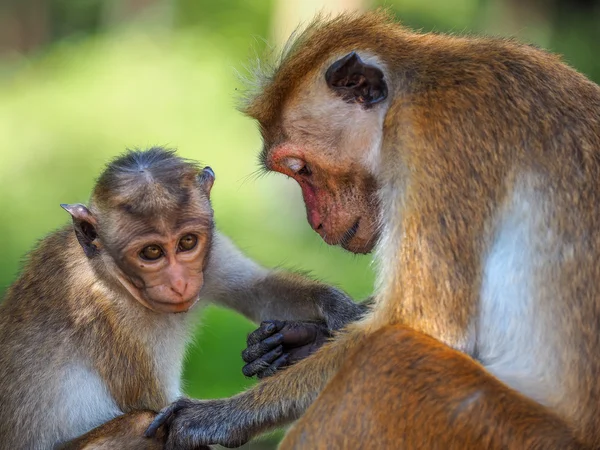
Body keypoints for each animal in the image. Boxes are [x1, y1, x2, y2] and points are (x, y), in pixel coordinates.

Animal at [0, 148, 364, 450]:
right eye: (151, 252)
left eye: (187, 242)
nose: (178, 283)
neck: (111, 276)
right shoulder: (106, 315)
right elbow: (160, 409)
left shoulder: (211, 252)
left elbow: (257, 288)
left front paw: (336, 312)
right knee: (143, 426)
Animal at [146, 8, 600, 448]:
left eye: (301, 168)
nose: (316, 222)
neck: (414, 90)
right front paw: (304, 338)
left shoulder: (439, 136)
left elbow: (419, 324)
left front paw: (215, 418)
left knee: (389, 356)